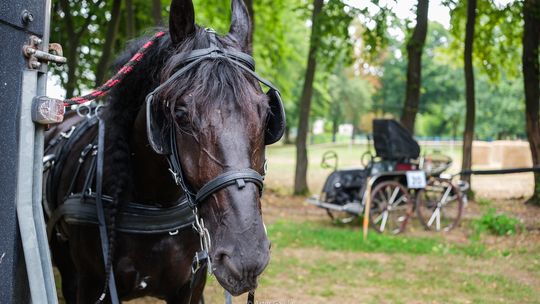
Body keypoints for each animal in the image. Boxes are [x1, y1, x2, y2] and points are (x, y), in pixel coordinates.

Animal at [44, 0, 284, 302]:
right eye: (180, 115)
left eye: (266, 114)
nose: (246, 257)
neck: (154, 201)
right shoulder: (90, 285)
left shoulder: (189, 287)